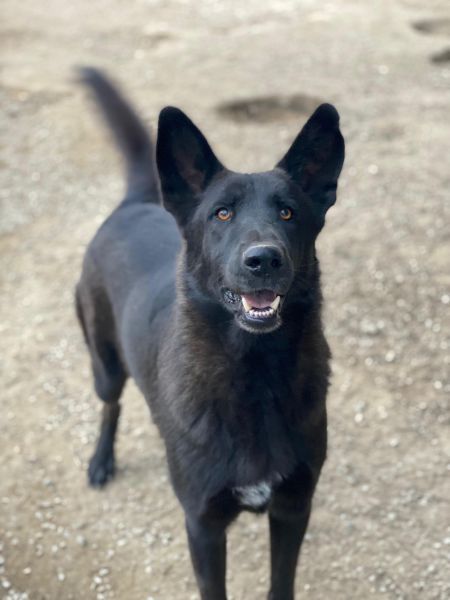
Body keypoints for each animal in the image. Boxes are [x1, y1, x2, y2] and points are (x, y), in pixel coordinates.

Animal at [75, 68, 345, 600]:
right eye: (222, 213)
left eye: (288, 213)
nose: (263, 260)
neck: (255, 375)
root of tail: (136, 203)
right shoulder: (203, 526)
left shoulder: (292, 510)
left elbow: (281, 583)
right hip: (105, 364)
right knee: (110, 404)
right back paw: (101, 461)